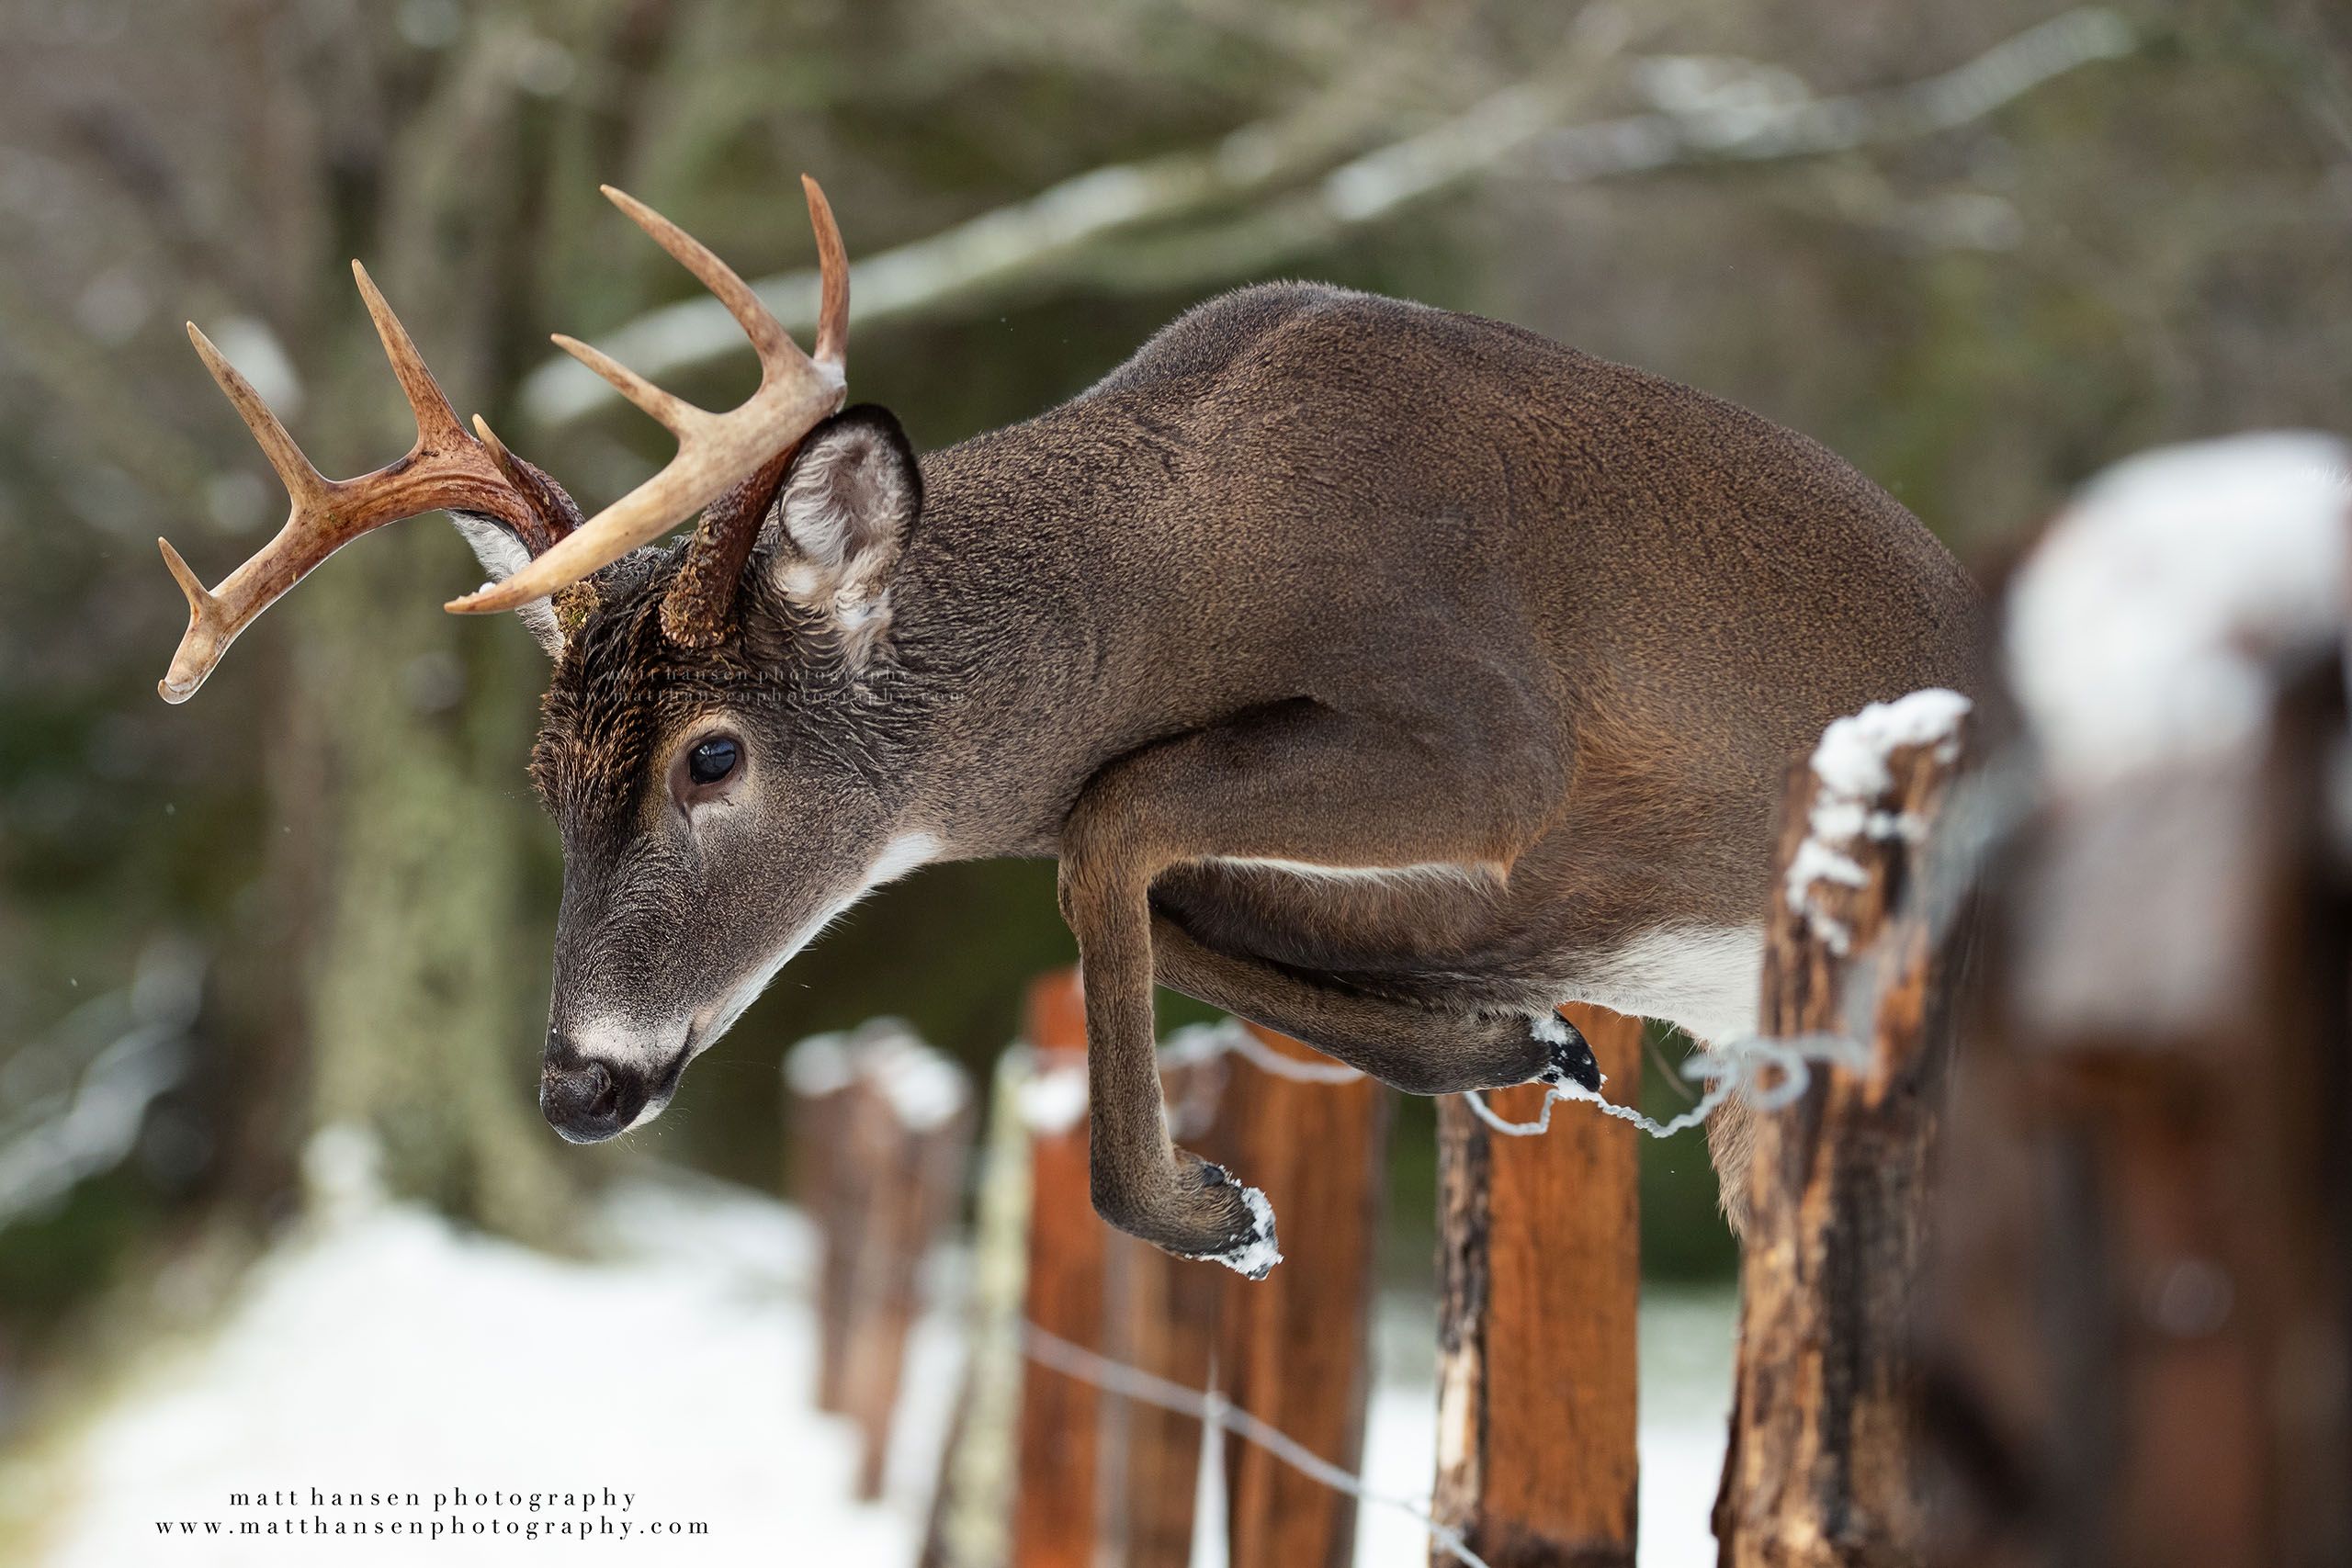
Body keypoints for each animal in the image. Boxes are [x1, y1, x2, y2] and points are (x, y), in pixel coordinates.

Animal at [156, 177, 1986, 1276]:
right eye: (547, 779)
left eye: (712, 753)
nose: (579, 1083)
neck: (1185, 562)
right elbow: (1133, 864)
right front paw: (1505, 1043)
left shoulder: (1495, 734)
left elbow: (1103, 823)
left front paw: (1193, 1205)